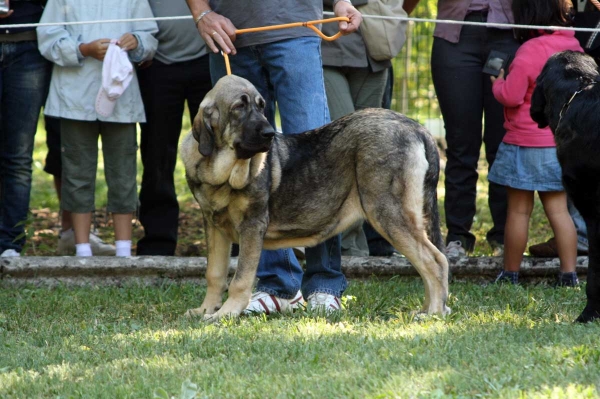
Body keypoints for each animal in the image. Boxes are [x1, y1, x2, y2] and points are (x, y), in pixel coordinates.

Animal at [180, 74, 448, 322]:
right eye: (239, 107)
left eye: (260, 106)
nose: (269, 133)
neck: (220, 172)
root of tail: (417, 127)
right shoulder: (214, 226)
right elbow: (214, 274)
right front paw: (206, 309)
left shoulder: (251, 226)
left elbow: (240, 279)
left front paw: (225, 314)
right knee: (429, 262)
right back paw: (427, 309)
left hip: (388, 214)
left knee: (435, 261)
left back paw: (434, 313)